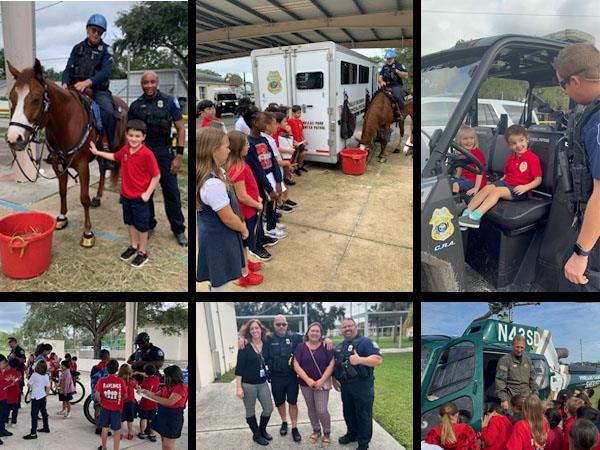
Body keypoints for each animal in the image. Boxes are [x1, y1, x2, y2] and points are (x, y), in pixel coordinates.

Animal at [4, 58, 127, 248]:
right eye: (11, 98)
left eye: (36, 99)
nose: (13, 138)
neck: (67, 122)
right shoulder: (58, 163)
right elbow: (62, 191)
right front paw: (62, 218)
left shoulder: (83, 166)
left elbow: (84, 197)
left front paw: (88, 233)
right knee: (102, 170)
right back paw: (98, 197)